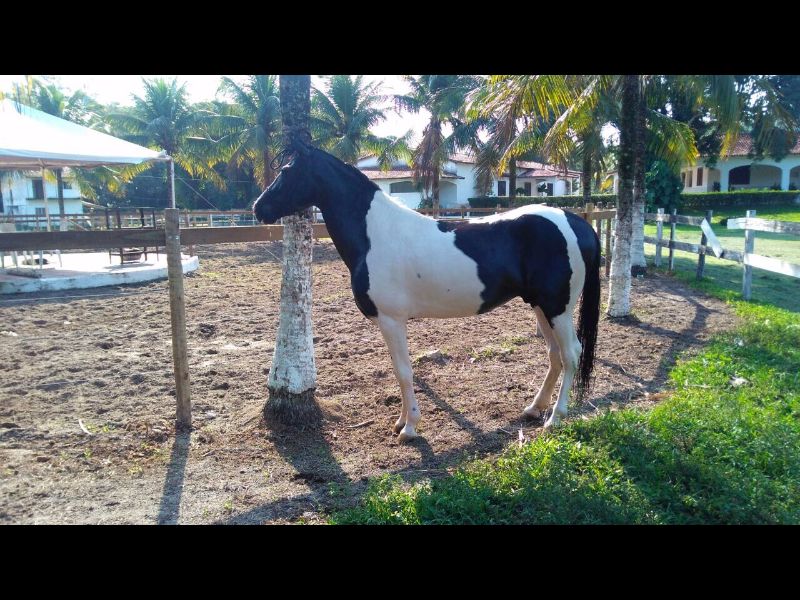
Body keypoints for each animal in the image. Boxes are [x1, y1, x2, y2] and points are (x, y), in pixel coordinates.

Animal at [253, 141, 601, 442]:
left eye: (287, 171)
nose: (259, 208)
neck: (375, 233)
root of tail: (576, 222)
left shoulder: (392, 320)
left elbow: (404, 372)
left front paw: (409, 428)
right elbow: (400, 372)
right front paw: (400, 422)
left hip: (558, 308)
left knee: (571, 353)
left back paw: (555, 418)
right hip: (541, 306)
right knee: (555, 356)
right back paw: (534, 408)